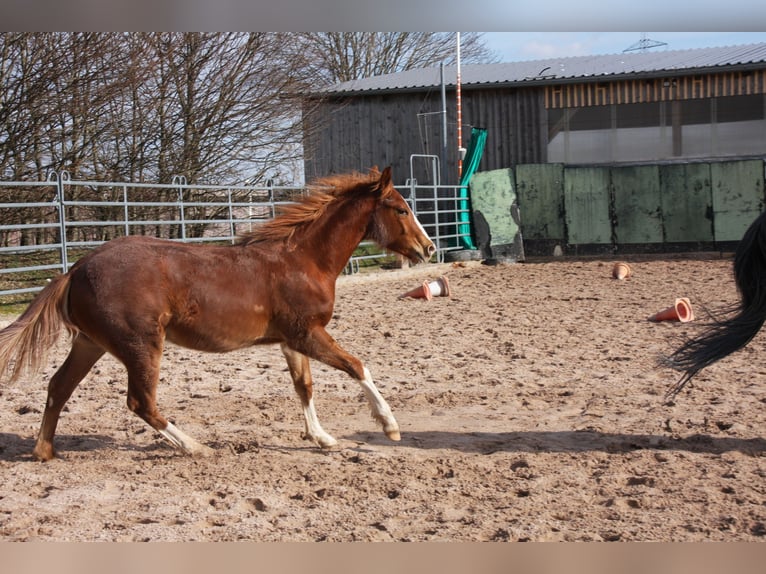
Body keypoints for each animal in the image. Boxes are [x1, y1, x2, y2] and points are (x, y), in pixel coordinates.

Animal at [0, 164, 436, 462]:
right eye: (400, 209)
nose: (428, 248)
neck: (304, 260)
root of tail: (75, 269)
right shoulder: (307, 333)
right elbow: (357, 366)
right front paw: (390, 427)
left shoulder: (291, 340)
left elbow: (304, 386)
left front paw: (323, 438)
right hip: (140, 344)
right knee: (141, 402)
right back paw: (197, 447)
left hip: (91, 342)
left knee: (58, 387)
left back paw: (44, 452)